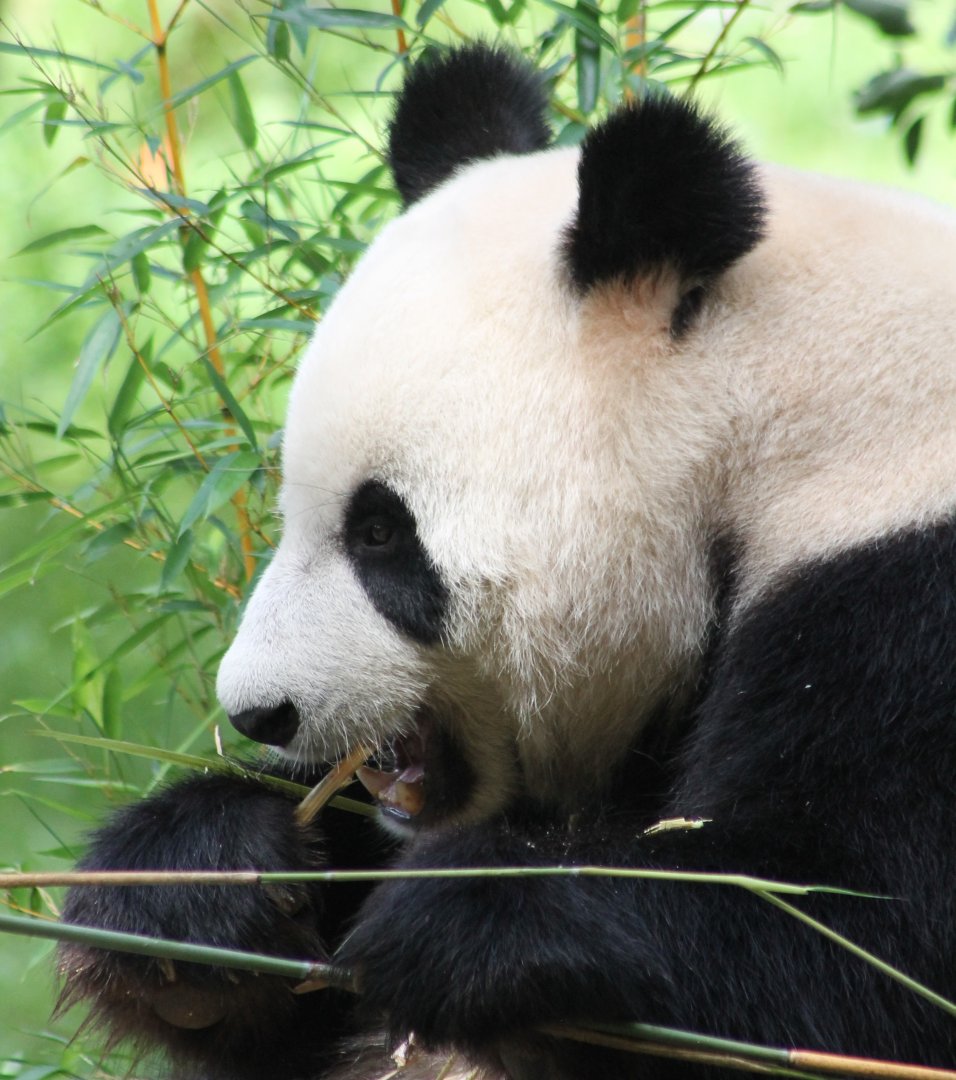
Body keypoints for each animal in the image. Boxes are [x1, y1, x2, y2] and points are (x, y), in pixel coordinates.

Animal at [58, 43, 956, 1080]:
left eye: (380, 533)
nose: (258, 712)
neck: (772, 399)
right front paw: (198, 885)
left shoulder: (900, 587)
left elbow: (851, 937)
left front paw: (468, 919)